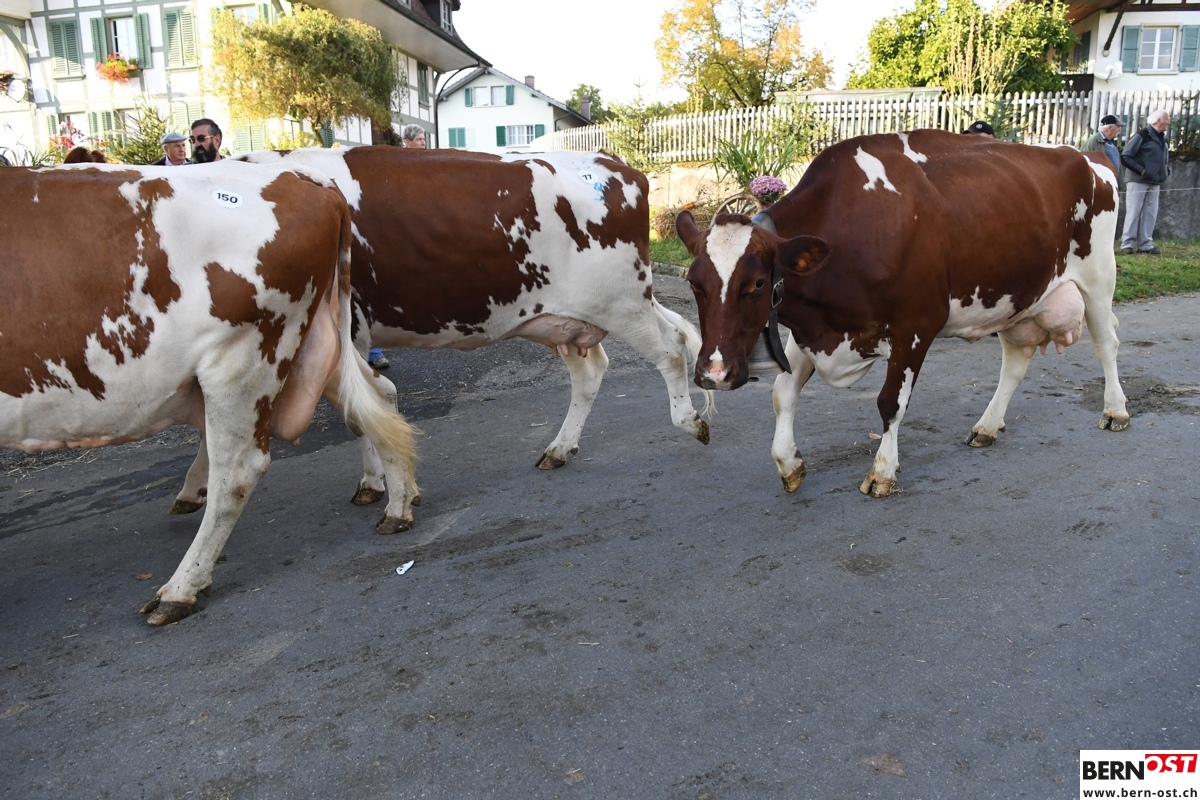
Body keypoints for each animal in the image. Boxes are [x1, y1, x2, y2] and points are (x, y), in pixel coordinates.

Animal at [0, 161, 418, 624]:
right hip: (315, 350)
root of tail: (295, 175)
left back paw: (181, 587)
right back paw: (398, 505)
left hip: (243, 357)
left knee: (238, 472)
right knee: (377, 400)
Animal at [232, 147, 711, 510]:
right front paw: (373, 481)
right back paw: (559, 448)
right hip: (572, 320)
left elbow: (360, 407)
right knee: (595, 370)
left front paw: (379, 484)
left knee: (671, 347)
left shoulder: (345, 333)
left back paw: (689, 421)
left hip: (622, 301)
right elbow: (358, 409)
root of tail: (615, 162)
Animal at [676, 129, 1129, 497]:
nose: (714, 373)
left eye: (756, 284)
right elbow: (782, 394)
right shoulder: (811, 331)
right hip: (1018, 297)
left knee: (1107, 343)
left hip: (1099, 278)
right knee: (1015, 362)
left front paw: (883, 472)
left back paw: (1115, 410)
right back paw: (987, 426)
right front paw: (789, 463)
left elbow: (890, 402)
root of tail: (1087, 156)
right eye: (694, 284)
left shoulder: (916, 326)